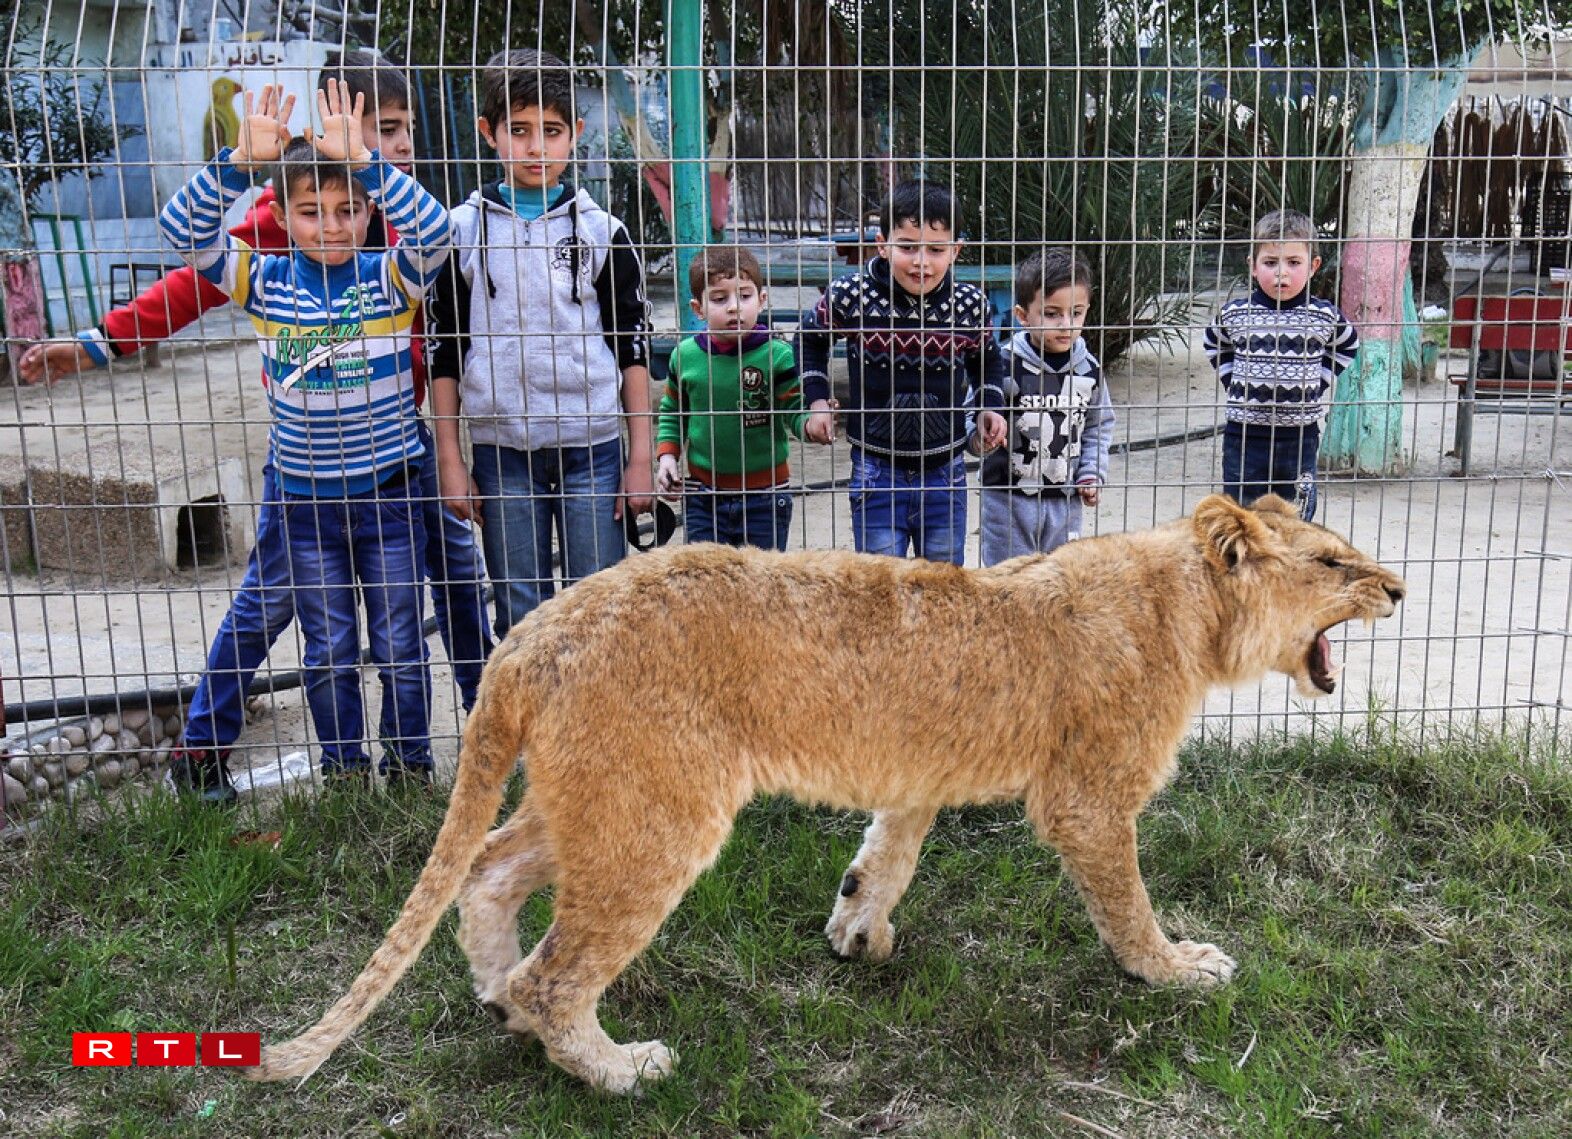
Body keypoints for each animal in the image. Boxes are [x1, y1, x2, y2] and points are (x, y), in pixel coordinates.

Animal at [250, 494, 1405, 1094]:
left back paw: (497, 998)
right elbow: (1126, 902)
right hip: (658, 815)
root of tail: (526, 636)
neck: (1189, 610)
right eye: (1332, 561)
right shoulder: (1087, 795)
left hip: (606, 798)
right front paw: (1173, 970)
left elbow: (890, 849)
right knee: (556, 968)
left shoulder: (921, 772)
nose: (1398, 587)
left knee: (489, 872)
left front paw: (857, 929)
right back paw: (617, 1066)